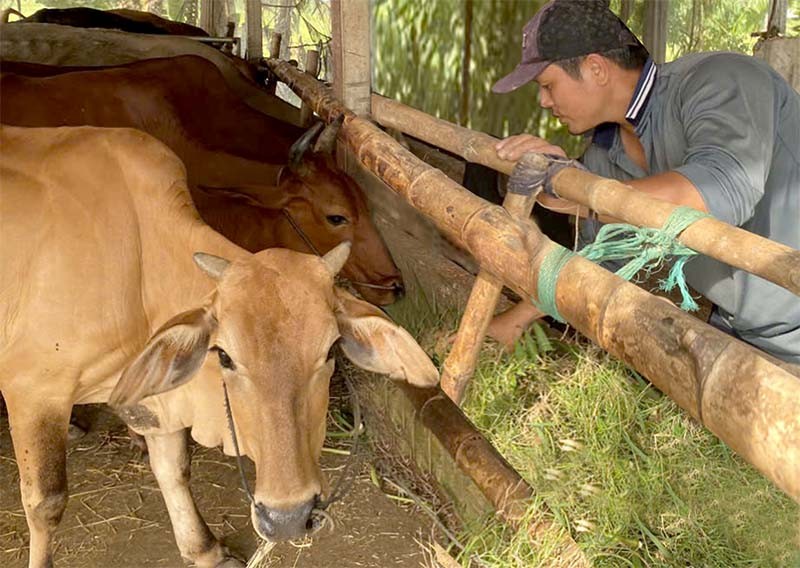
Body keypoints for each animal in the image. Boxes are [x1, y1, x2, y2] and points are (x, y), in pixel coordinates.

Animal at [0, 125, 438, 568]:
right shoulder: (33, 392)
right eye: (224, 355)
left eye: (331, 350)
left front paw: (204, 548)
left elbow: (174, 468)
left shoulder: (154, 397)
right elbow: (46, 503)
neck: (139, 261)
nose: (287, 518)